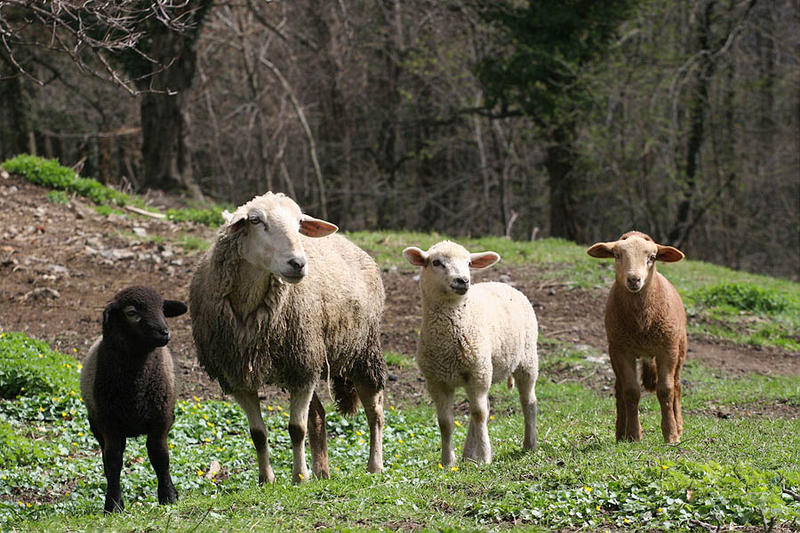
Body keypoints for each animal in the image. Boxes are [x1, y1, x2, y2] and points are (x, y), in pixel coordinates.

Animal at [80, 284, 188, 512]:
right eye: (131, 313)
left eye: (162, 309)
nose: (165, 332)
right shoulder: (108, 423)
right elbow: (113, 461)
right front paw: (113, 505)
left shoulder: (161, 419)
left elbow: (160, 456)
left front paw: (168, 496)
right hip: (96, 424)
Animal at [189, 191, 386, 482]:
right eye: (256, 221)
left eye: (299, 224)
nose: (298, 264)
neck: (248, 306)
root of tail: (350, 243)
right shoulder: (237, 375)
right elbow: (258, 434)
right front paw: (266, 479)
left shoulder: (303, 365)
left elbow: (296, 429)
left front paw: (299, 477)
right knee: (318, 415)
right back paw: (322, 472)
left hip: (361, 350)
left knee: (375, 413)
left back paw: (375, 466)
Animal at [404, 241, 540, 466]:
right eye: (436, 262)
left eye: (468, 263)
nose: (463, 280)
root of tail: (501, 283)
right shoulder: (437, 381)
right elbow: (446, 422)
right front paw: (447, 462)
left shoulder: (477, 373)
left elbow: (479, 415)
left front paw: (485, 457)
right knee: (482, 407)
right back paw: (468, 455)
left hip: (526, 360)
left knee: (527, 402)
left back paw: (529, 444)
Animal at [588, 231, 688, 442]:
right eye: (617, 255)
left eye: (652, 257)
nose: (634, 280)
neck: (642, 324)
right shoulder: (622, 351)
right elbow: (631, 391)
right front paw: (634, 434)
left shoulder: (667, 348)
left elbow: (666, 390)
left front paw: (671, 435)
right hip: (614, 350)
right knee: (619, 389)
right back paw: (620, 433)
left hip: (680, 347)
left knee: (676, 385)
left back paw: (679, 425)